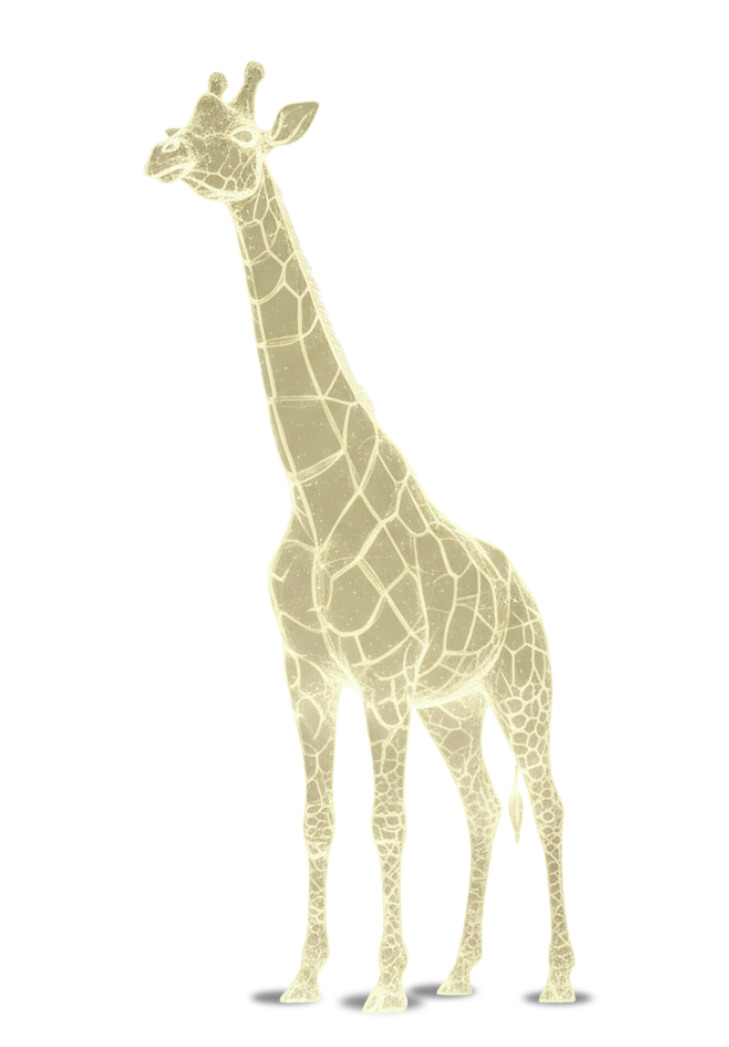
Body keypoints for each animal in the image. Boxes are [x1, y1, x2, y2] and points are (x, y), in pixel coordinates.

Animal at [142, 60, 577, 1015]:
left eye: (236, 135)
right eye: (186, 119)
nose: (158, 154)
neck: (311, 491)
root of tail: (524, 588)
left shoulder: (378, 678)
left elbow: (387, 820)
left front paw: (380, 985)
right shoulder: (305, 675)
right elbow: (317, 818)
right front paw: (307, 976)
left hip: (520, 687)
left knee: (549, 801)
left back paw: (557, 977)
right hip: (451, 704)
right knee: (483, 805)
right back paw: (455, 973)